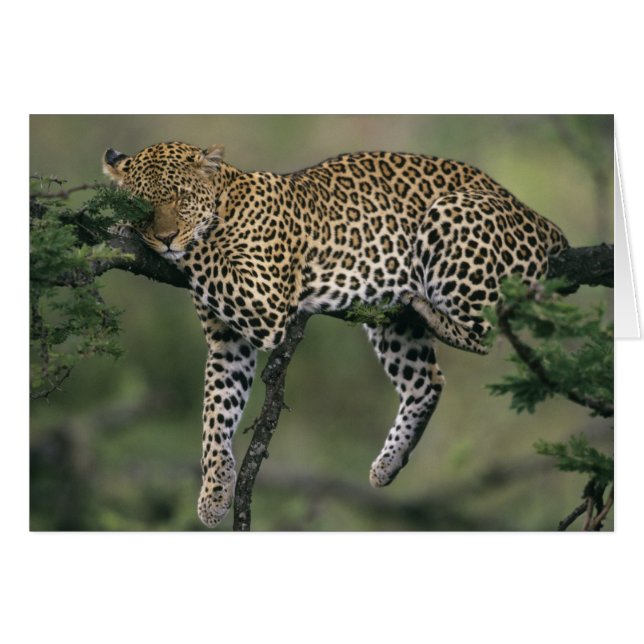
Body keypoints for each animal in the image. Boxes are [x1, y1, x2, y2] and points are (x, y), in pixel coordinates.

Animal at [103, 141, 569, 528]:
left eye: (181, 200)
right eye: (144, 204)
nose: (164, 239)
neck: (228, 201)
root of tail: (540, 218)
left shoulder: (263, 301)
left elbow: (205, 250)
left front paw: (127, 230)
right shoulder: (226, 344)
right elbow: (216, 415)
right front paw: (215, 493)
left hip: (452, 216)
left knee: (487, 331)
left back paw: (430, 308)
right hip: (391, 323)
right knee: (427, 380)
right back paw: (388, 464)